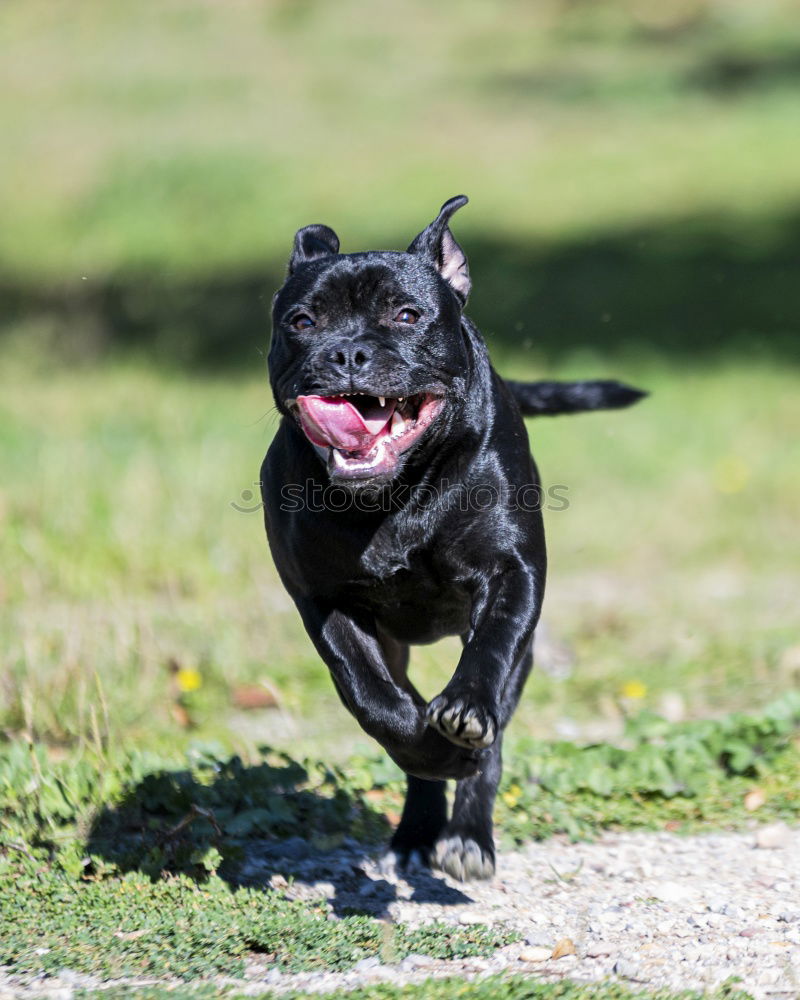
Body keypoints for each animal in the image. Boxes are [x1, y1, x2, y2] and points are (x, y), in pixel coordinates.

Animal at [262, 197, 644, 884]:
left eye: (408, 315)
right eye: (303, 321)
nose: (347, 353)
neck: (395, 497)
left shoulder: (512, 574)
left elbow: (489, 652)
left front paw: (464, 714)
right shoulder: (326, 603)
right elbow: (375, 699)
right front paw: (429, 750)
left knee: (495, 722)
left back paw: (468, 833)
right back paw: (420, 824)